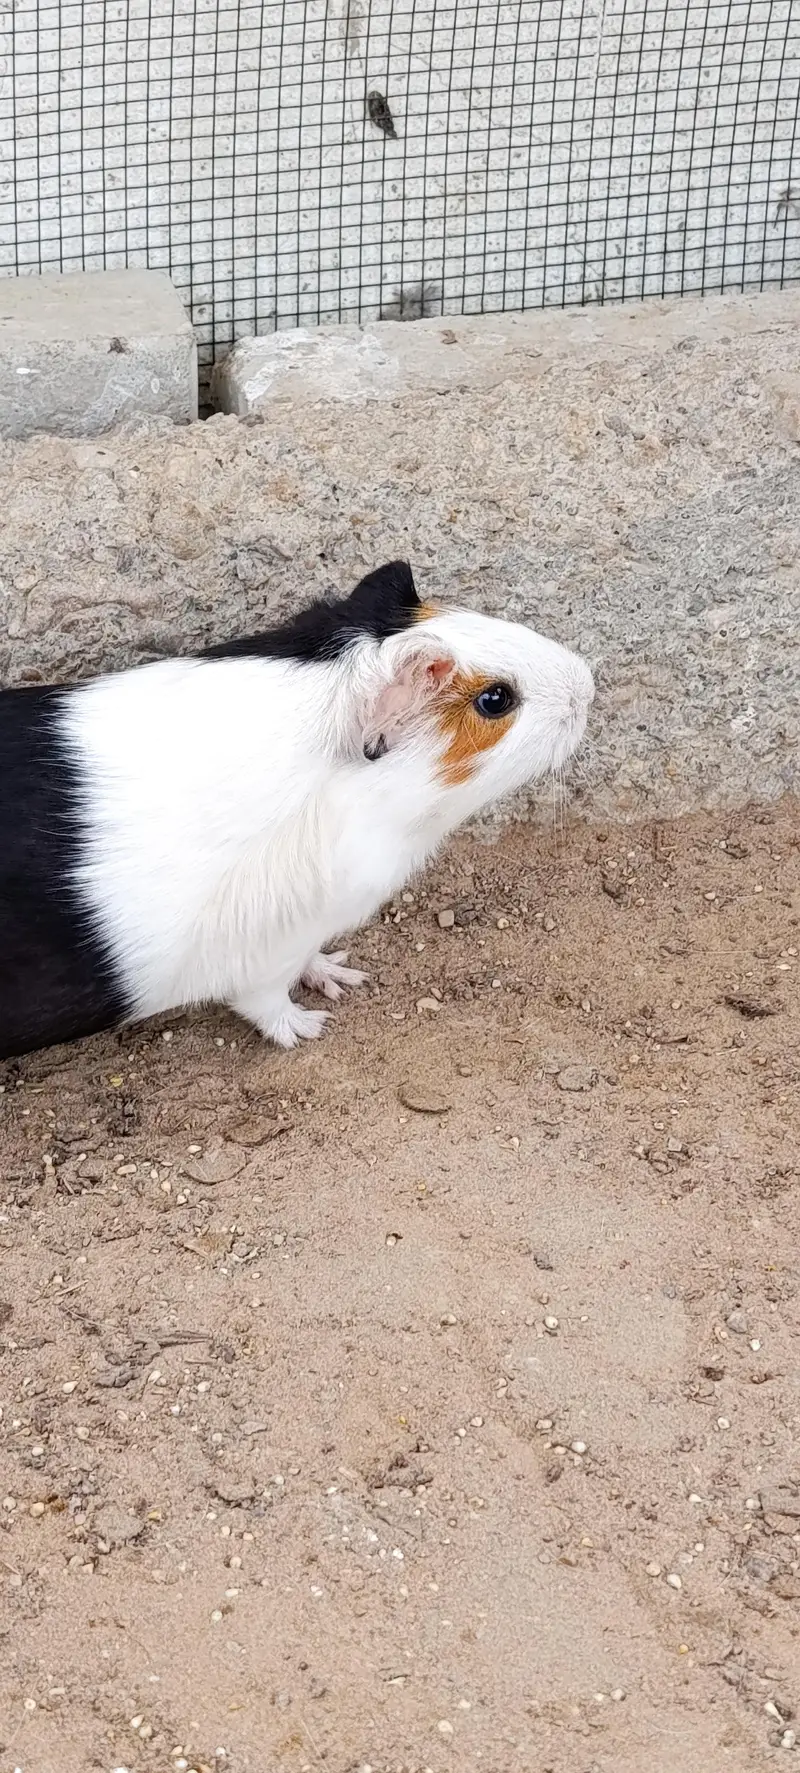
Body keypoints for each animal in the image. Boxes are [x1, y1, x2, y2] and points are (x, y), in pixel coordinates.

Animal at [0, 561, 594, 1058]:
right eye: (496, 700)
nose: (586, 684)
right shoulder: (268, 955)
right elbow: (267, 1003)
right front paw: (311, 1026)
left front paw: (339, 975)